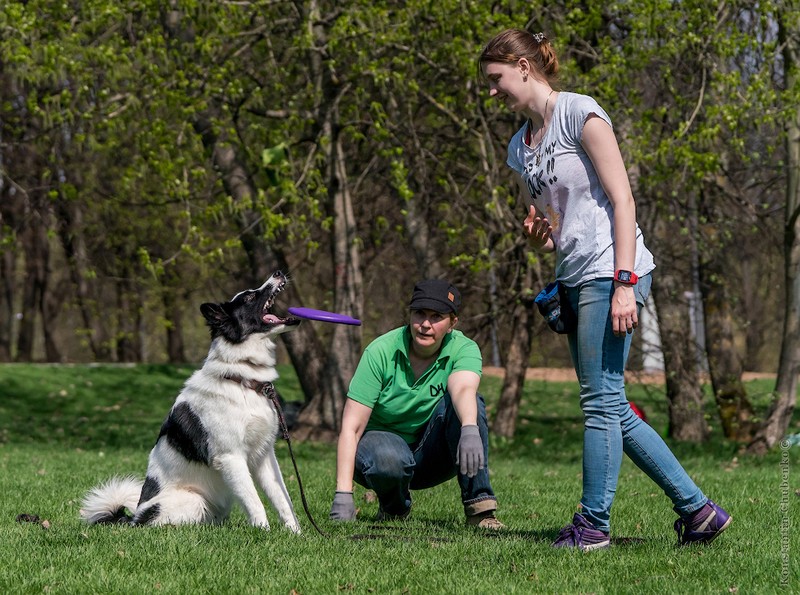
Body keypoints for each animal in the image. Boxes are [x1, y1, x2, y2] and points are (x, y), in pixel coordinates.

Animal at [81, 272, 302, 532]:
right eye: (249, 297)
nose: (278, 273)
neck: (241, 377)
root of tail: (134, 519)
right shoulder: (231, 458)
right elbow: (255, 501)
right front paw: (263, 533)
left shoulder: (264, 456)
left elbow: (282, 499)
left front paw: (295, 534)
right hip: (193, 500)